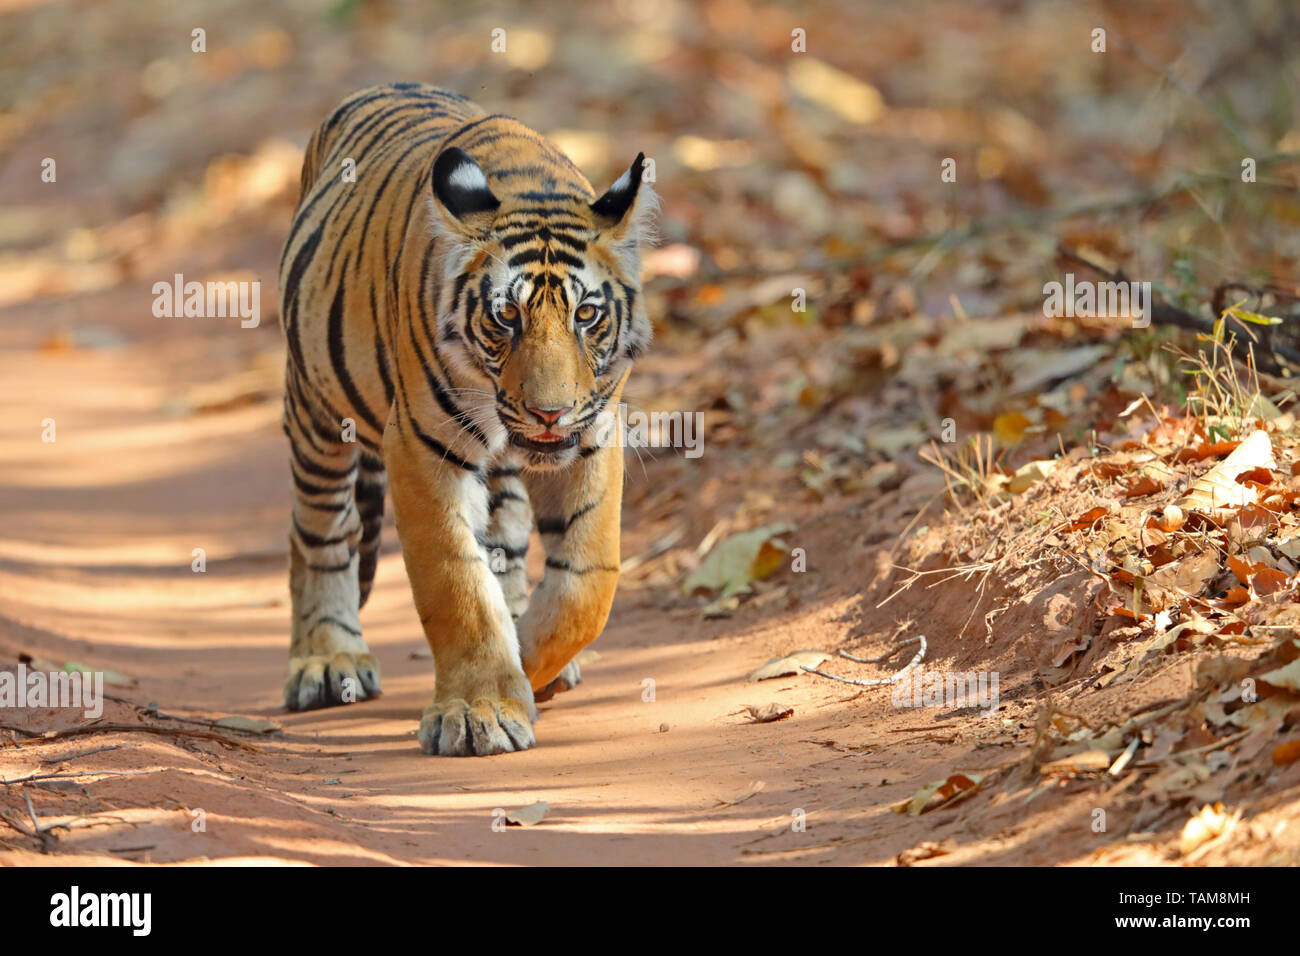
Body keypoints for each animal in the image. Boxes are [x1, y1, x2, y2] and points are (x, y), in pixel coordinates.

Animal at [278, 83, 655, 754]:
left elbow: (588, 583)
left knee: (506, 536)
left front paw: (529, 660)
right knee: (319, 531)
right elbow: (456, 583)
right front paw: (481, 710)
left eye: (586, 315)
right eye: (506, 316)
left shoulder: (592, 437)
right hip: (317, 408)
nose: (549, 412)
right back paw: (327, 660)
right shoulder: (422, 446)